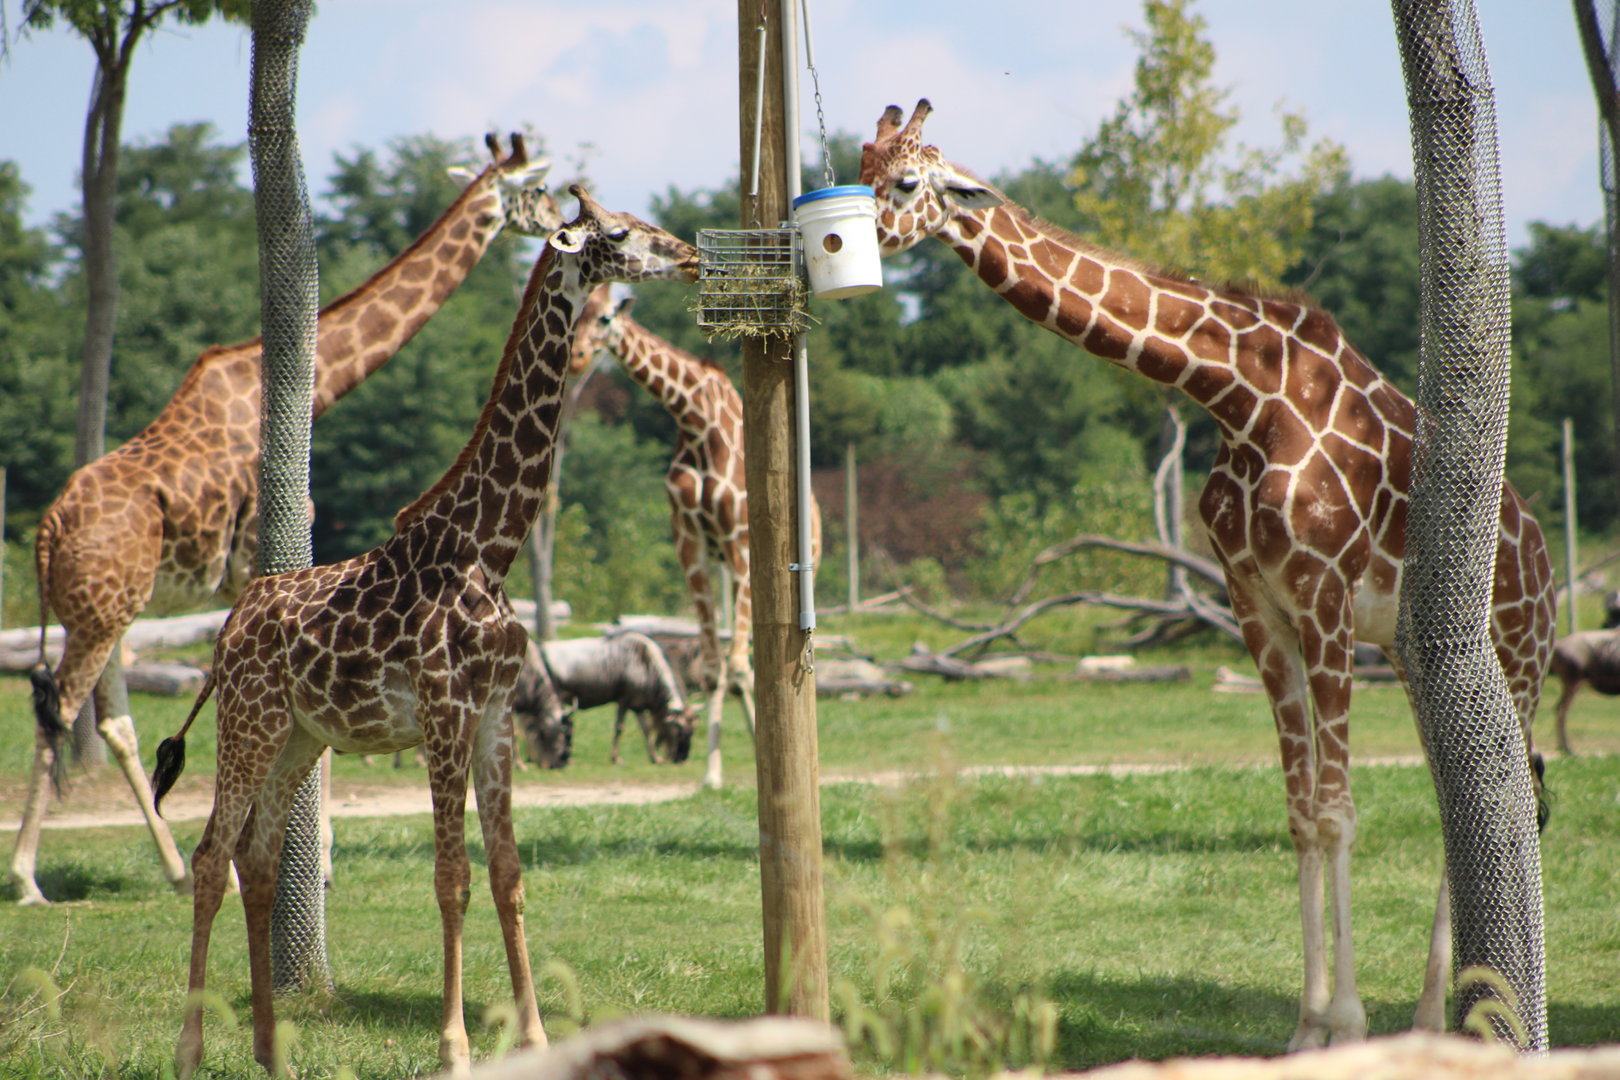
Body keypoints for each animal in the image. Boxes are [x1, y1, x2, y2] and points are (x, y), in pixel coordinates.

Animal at [11, 134, 562, 907]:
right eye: (538, 191)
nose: (561, 222)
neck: (312, 386)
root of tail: (47, 532)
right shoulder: (267, 554)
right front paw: (319, 864)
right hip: (102, 609)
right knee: (61, 709)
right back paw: (29, 878)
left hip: (105, 608)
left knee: (108, 717)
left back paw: (171, 867)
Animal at [148, 186, 699, 1080]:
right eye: (618, 233)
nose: (689, 257)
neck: (490, 548)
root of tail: (229, 630)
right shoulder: (445, 713)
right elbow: (452, 877)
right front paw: (455, 1045)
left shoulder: (498, 717)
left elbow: (508, 874)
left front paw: (534, 1036)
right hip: (250, 721)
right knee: (208, 857)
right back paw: (192, 1049)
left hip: (301, 736)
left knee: (256, 862)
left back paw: (271, 1050)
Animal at [568, 288, 821, 789]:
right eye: (578, 315)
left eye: (604, 319)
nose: (576, 357)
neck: (696, 422)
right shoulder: (692, 546)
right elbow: (711, 670)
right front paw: (712, 773)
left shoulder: (741, 542)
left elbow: (740, 668)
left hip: (792, 563)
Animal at [858, 100, 1556, 1049]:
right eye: (855, 169)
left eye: (902, 183)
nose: (836, 239)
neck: (1239, 399)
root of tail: (1542, 554)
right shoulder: (1256, 605)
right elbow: (1299, 812)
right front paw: (1306, 1028)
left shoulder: (1325, 599)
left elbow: (1335, 808)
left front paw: (1346, 1022)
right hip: (1421, 657)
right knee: (1465, 801)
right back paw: (1427, 1019)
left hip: (1518, 658)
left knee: (1506, 797)